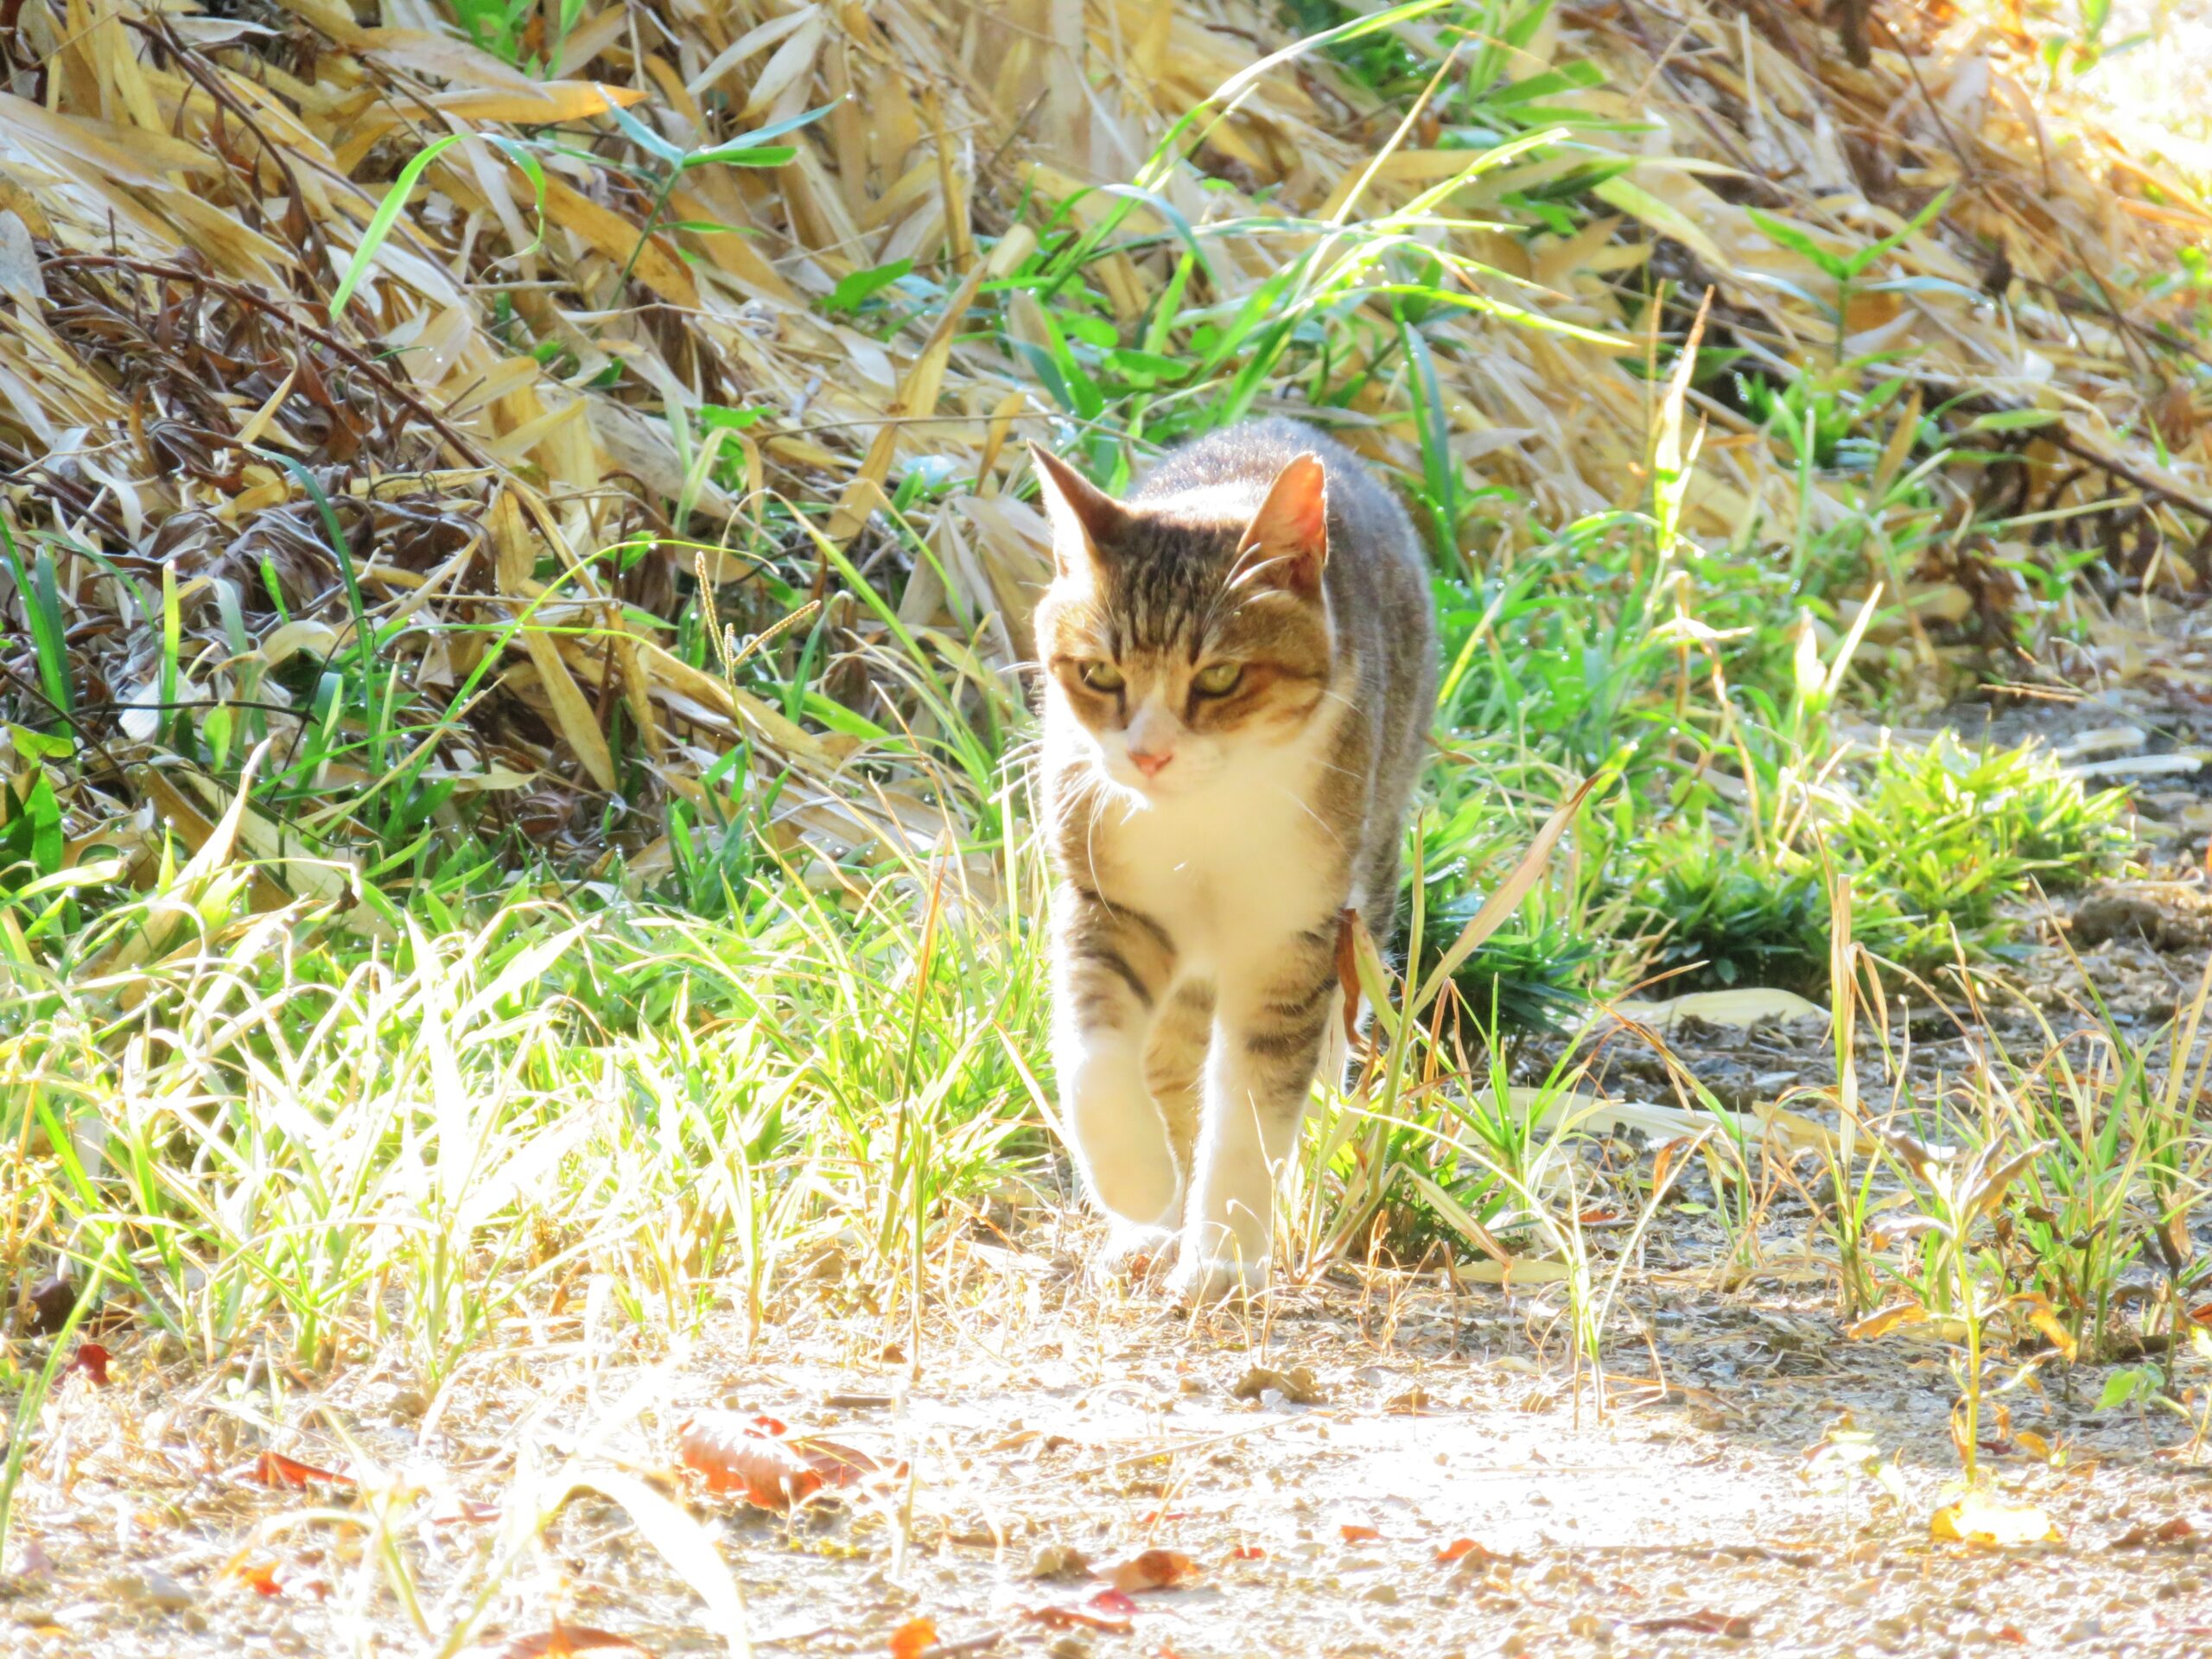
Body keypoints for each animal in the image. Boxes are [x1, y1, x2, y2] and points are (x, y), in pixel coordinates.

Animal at [1030, 422, 1442, 1309]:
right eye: (1100, 673)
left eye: (1219, 676)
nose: (1147, 756)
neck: (1201, 819)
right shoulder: (1110, 901)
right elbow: (1096, 1058)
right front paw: (1142, 1187)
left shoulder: (1291, 936)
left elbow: (1254, 1106)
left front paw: (1222, 1259)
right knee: (1170, 1060)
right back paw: (1151, 1228)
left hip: (1367, 881)